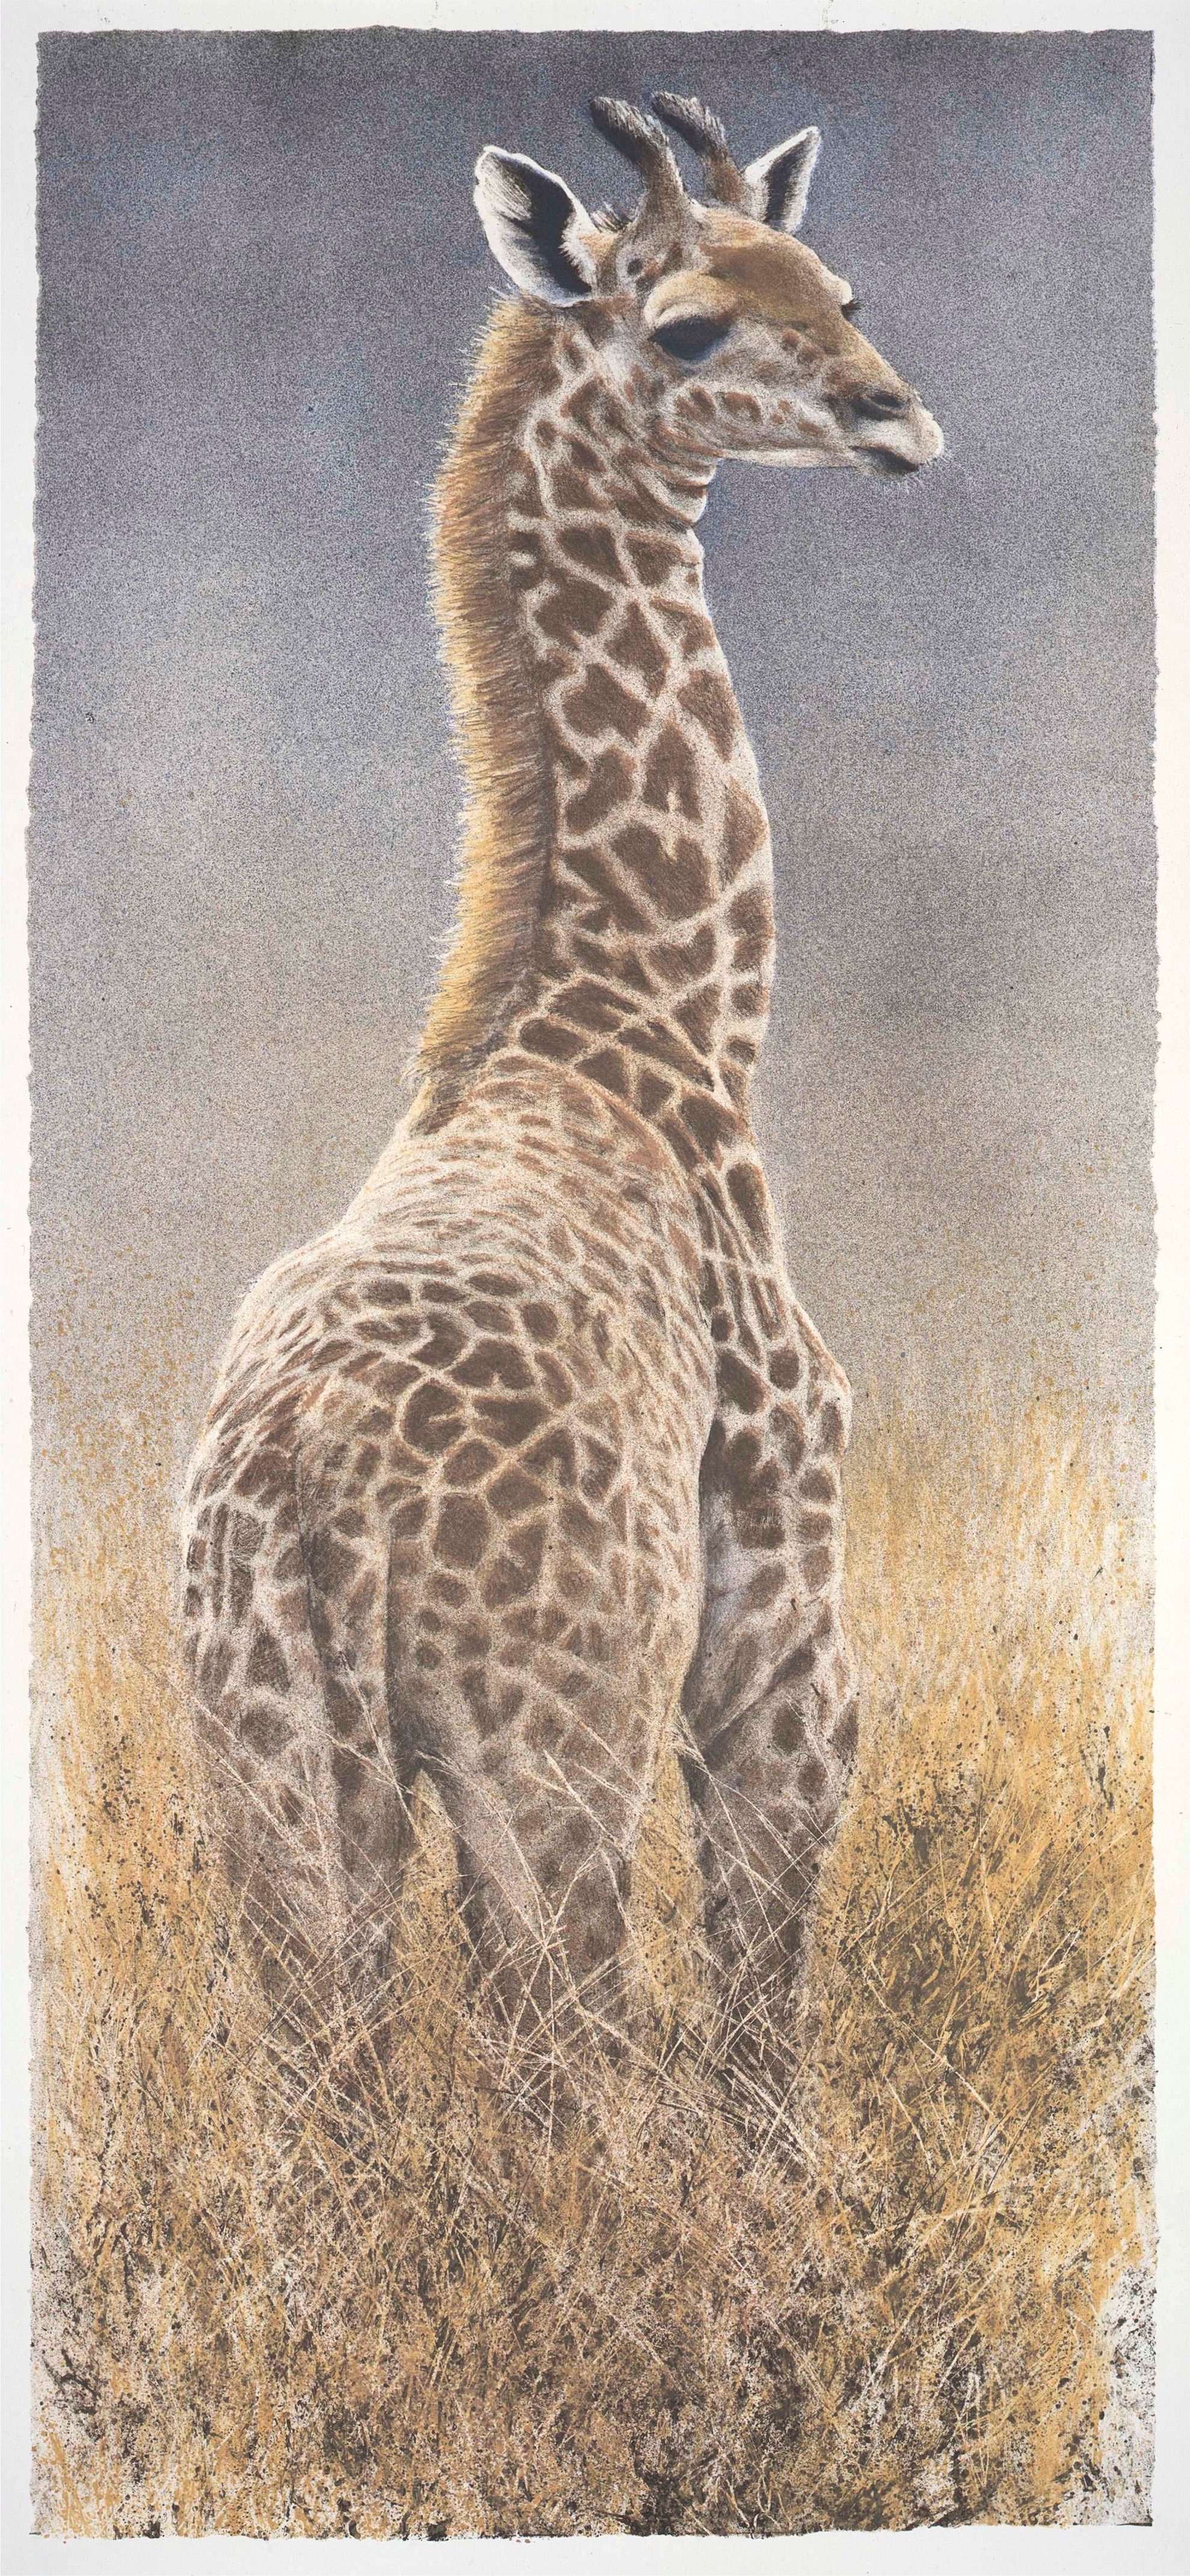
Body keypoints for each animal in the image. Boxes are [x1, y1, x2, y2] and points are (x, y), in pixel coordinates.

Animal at [181, 94, 942, 2077]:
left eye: (834, 282)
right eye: (683, 325)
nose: (893, 417)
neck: (656, 1022)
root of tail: (315, 1483)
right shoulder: (778, 1592)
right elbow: (757, 2019)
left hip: (275, 1765)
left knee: (331, 2078)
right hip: (542, 1744)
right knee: (565, 2053)